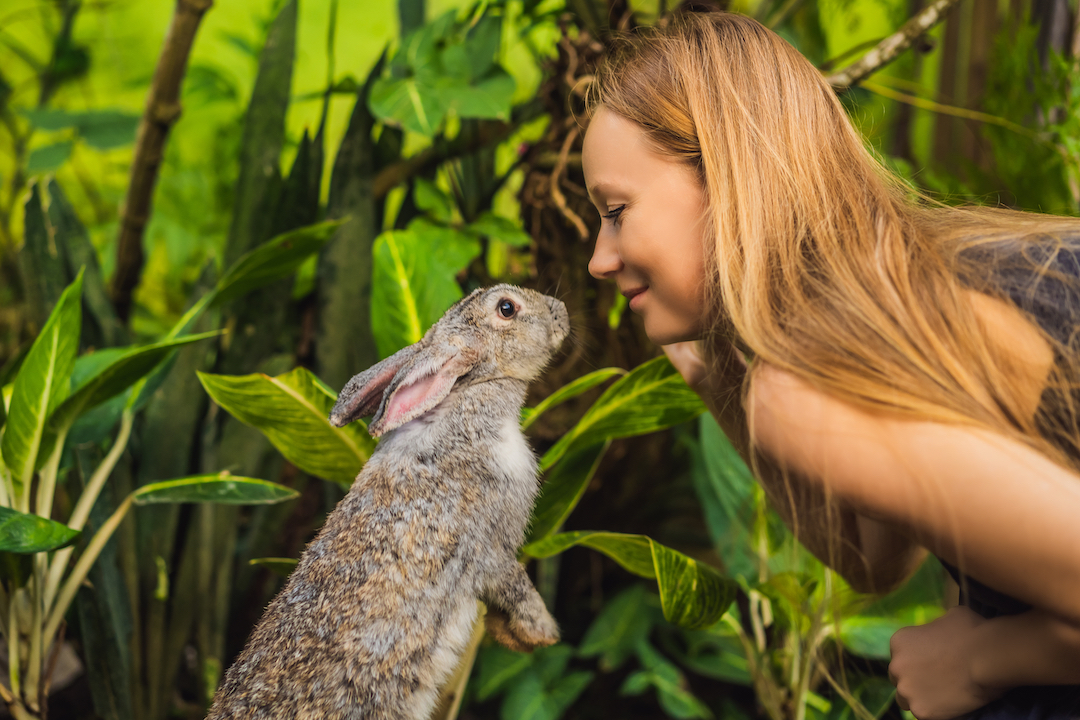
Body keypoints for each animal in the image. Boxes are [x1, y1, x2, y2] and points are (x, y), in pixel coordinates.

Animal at [205, 284, 570, 716]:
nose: (561, 310)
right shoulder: (492, 548)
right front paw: (541, 634)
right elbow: (515, 585)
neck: (466, 395)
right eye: (507, 308)